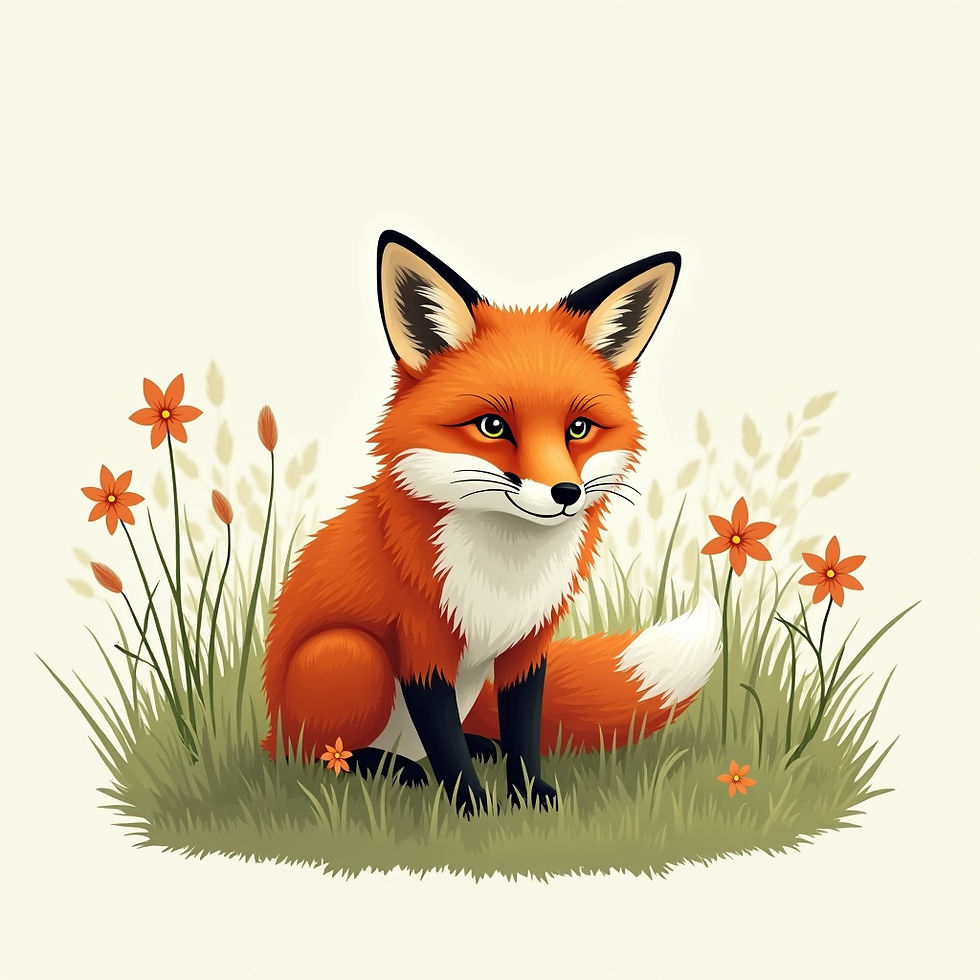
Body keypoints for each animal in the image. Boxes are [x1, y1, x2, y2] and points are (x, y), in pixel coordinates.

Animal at [261, 230, 722, 814]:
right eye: (492, 426)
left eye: (578, 428)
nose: (567, 494)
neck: (505, 572)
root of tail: (269, 732)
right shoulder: (423, 646)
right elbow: (445, 743)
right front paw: (471, 806)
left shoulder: (529, 643)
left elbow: (523, 730)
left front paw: (529, 795)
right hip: (347, 653)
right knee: (325, 756)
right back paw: (388, 769)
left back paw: (470, 746)